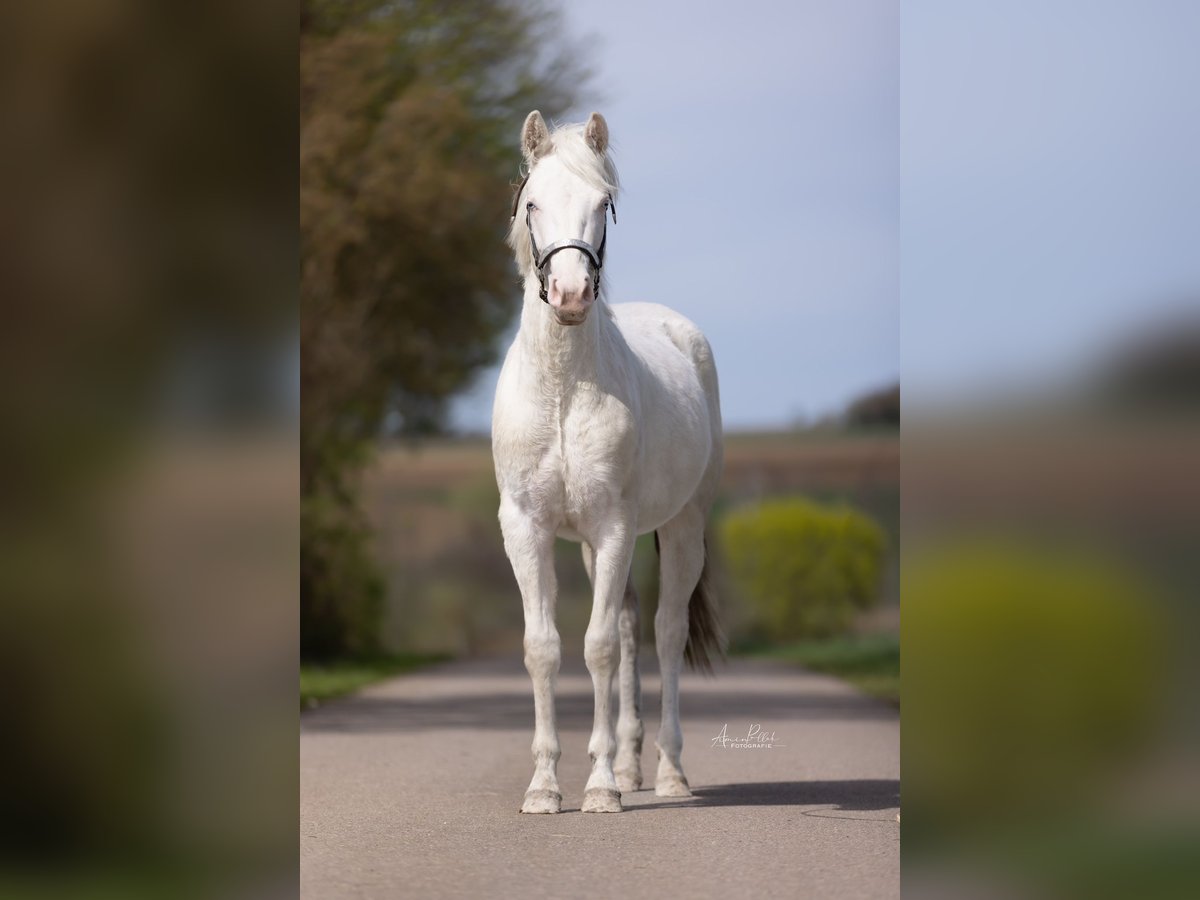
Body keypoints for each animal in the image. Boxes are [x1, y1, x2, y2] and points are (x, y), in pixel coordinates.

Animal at [489, 112, 720, 816]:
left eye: (603, 203)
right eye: (532, 203)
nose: (570, 294)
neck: (564, 391)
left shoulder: (616, 526)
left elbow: (595, 649)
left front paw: (597, 790)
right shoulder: (527, 528)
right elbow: (544, 649)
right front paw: (544, 788)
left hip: (681, 528)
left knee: (664, 633)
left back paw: (667, 775)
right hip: (595, 548)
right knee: (626, 630)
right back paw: (628, 763)